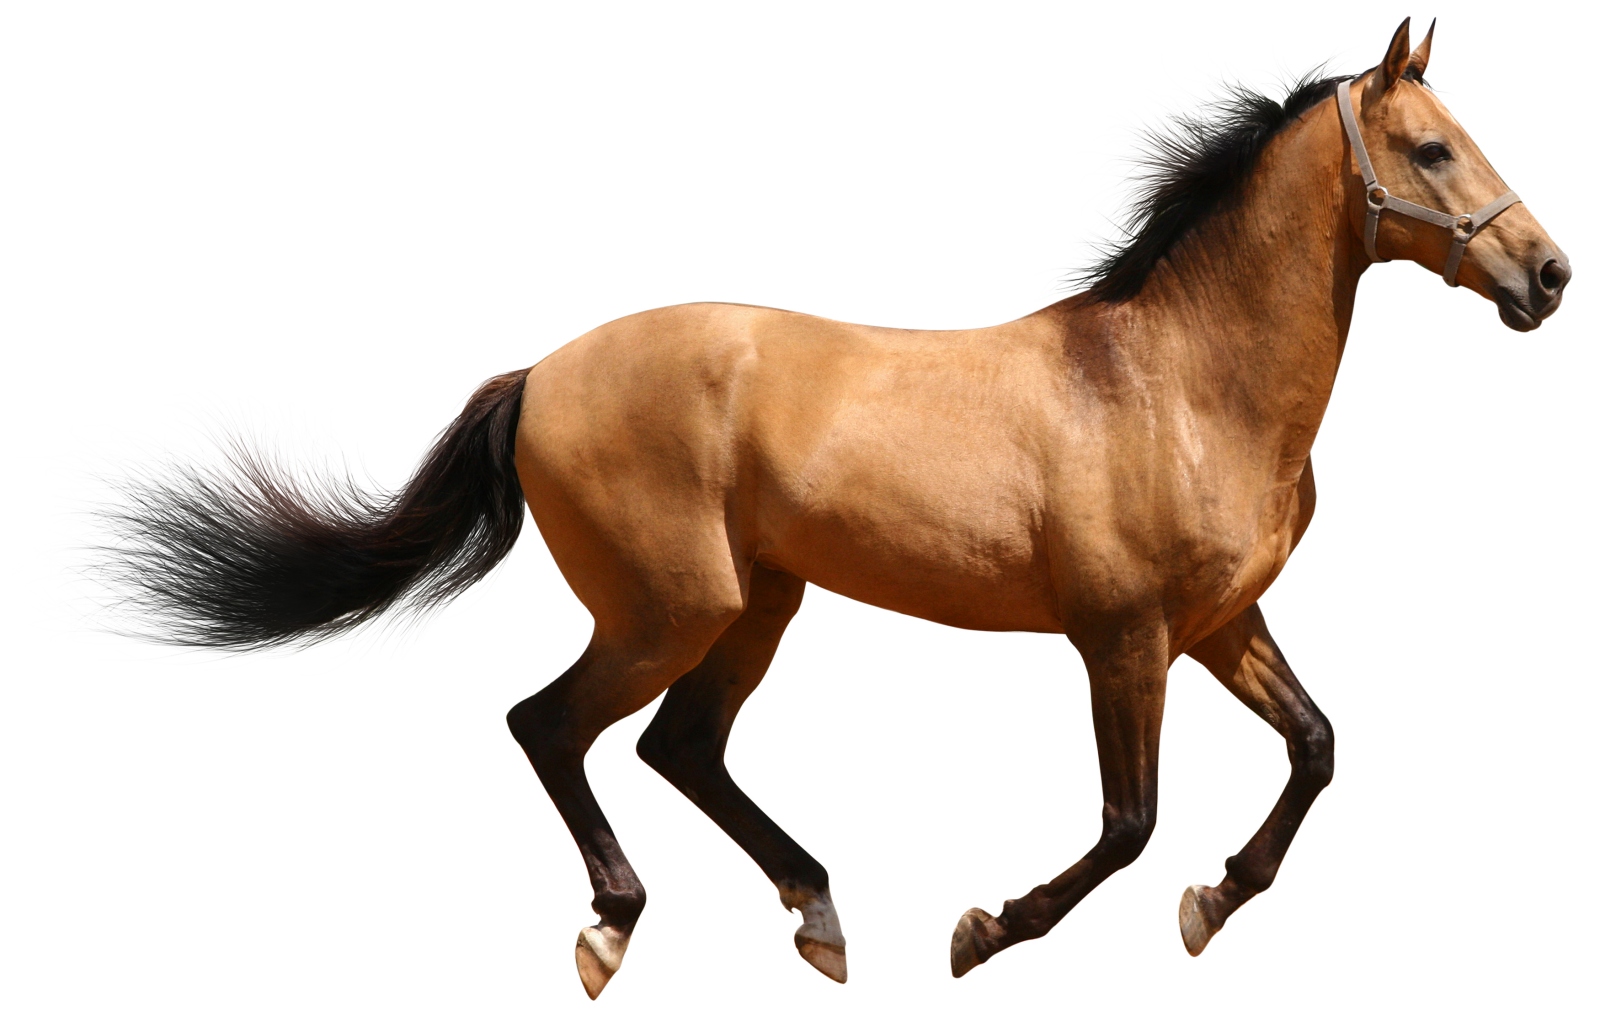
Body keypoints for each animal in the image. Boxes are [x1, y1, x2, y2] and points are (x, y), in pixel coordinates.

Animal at [20, 16, 1569, 1000]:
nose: (1549, 275)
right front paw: (981, 931)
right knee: (555, 724)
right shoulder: (1121, 635)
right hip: (677, 603)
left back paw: (818, 916)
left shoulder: (1221, 623)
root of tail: (539, 371)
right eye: (1432, 149)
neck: (1179, 381)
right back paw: (614, 932)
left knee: (681, 748)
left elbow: (1314, 747)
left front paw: (1208, 906)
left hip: (759, 601)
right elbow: (1129, 819)